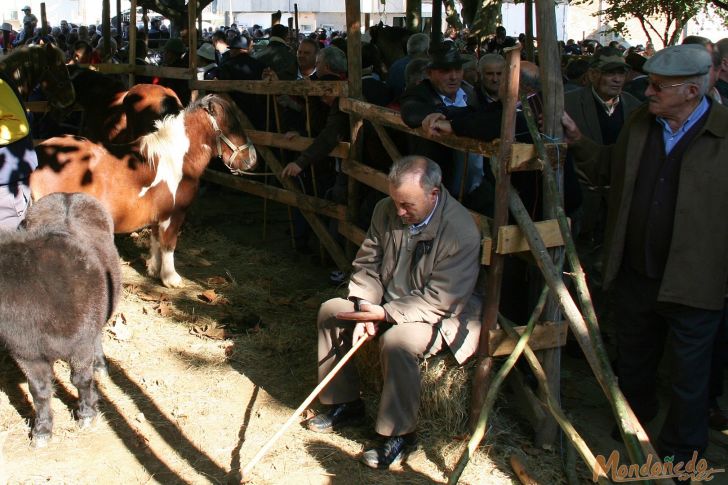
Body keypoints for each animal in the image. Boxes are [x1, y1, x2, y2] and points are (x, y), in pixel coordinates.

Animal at [29, 94, 258, 288]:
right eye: (233, 125)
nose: (252, 160)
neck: (176, 158)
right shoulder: (174, 215)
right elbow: (169, 244)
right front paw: (171, 278)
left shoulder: (158, 216)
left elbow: (156, 241)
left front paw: (154, 270)